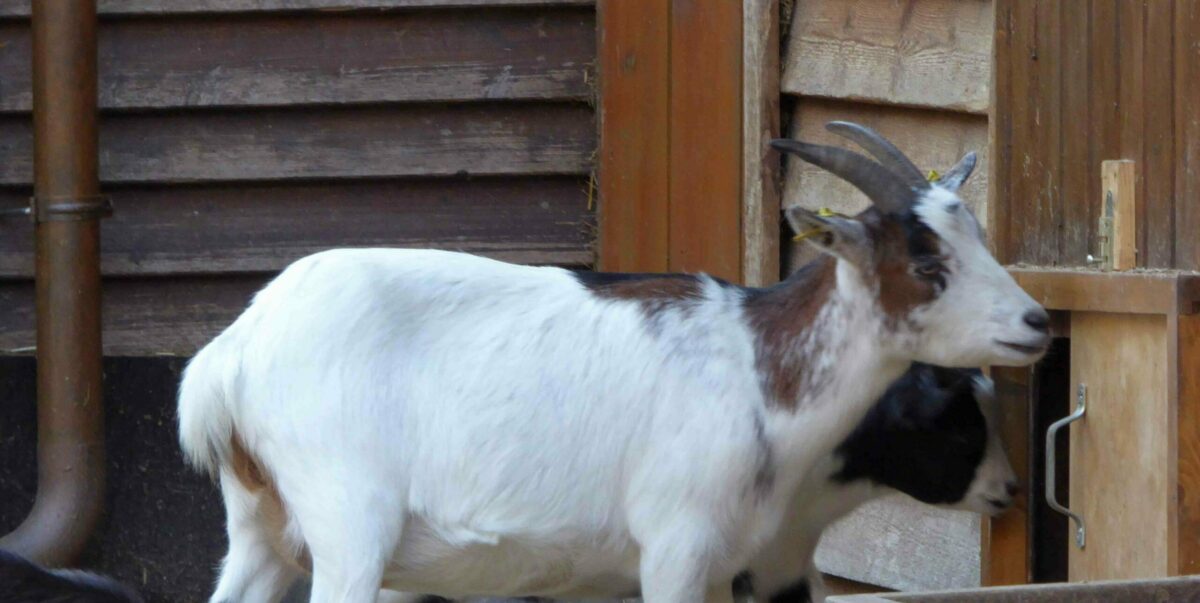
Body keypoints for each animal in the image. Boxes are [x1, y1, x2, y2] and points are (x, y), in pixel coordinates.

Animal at [177, 120, 1051, 600]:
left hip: (260, 528)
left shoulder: (735, 566)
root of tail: (231, 355)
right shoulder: (676, 549)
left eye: (974, 235)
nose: (1037, 321)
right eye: (926, 262)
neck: (758, 370)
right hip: (349, 524)